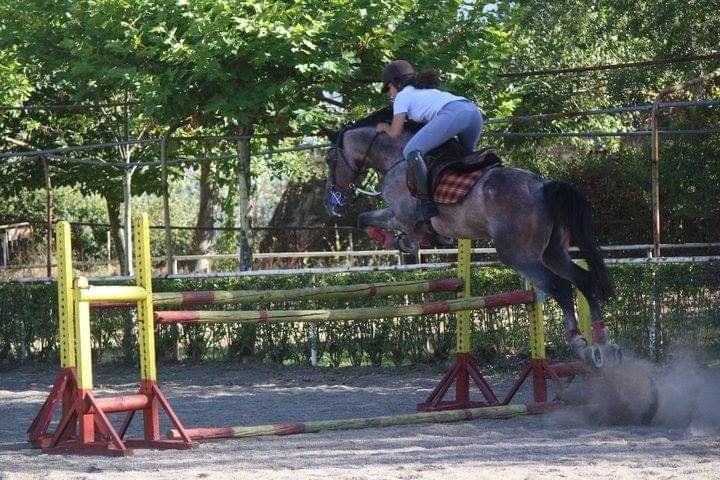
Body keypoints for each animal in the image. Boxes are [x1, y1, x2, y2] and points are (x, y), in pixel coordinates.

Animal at [322, 123, 621, 368]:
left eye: (329, 159)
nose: (332, 201)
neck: (396, 159)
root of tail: (542, 186)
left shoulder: (400, 215)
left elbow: (364, 219)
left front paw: (401, 240)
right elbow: (368, 219)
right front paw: (411, 240)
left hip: (520, 256)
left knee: (560, 287)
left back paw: (580, 345)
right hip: (553, 253)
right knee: (584, 280)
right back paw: (602, 342)